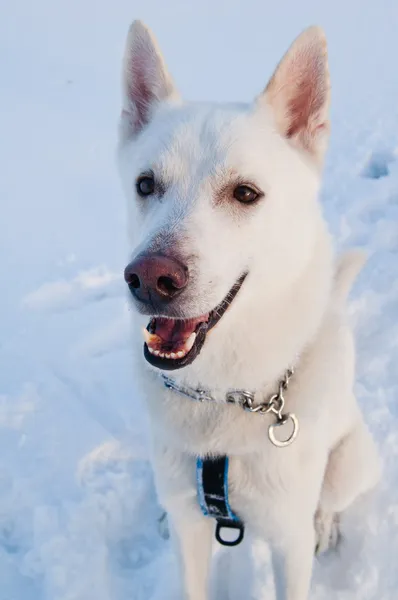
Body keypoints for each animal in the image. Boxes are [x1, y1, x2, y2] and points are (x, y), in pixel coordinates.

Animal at [116, 19, 380, 600]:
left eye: (245, 193)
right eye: (146, 184)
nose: (149, 279)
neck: (224, 397)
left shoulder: (288, 547)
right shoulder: (192, 535)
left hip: (351, 464)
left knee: (329, 501)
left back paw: (326, 523)